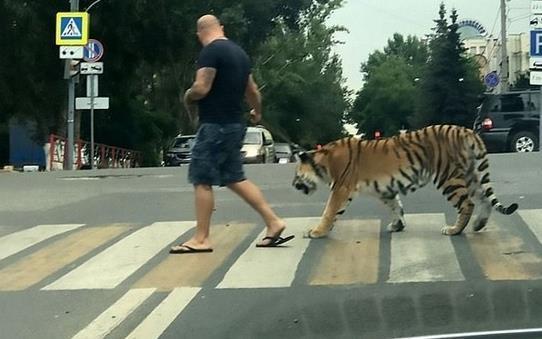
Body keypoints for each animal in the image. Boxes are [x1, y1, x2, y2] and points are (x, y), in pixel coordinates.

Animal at [296, 125, 520, 239]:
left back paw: (454, 230)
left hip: (448, 177)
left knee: (468, 203)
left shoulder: (341, 188)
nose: (294, 185)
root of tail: (466, 131)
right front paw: (397, 225)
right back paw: (478, 224)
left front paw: (316, 232)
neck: (323, 163)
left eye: (296, 174)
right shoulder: (385, 190)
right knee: (484, 200)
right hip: (471, 174)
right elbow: (396, 206)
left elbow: (329, 211)